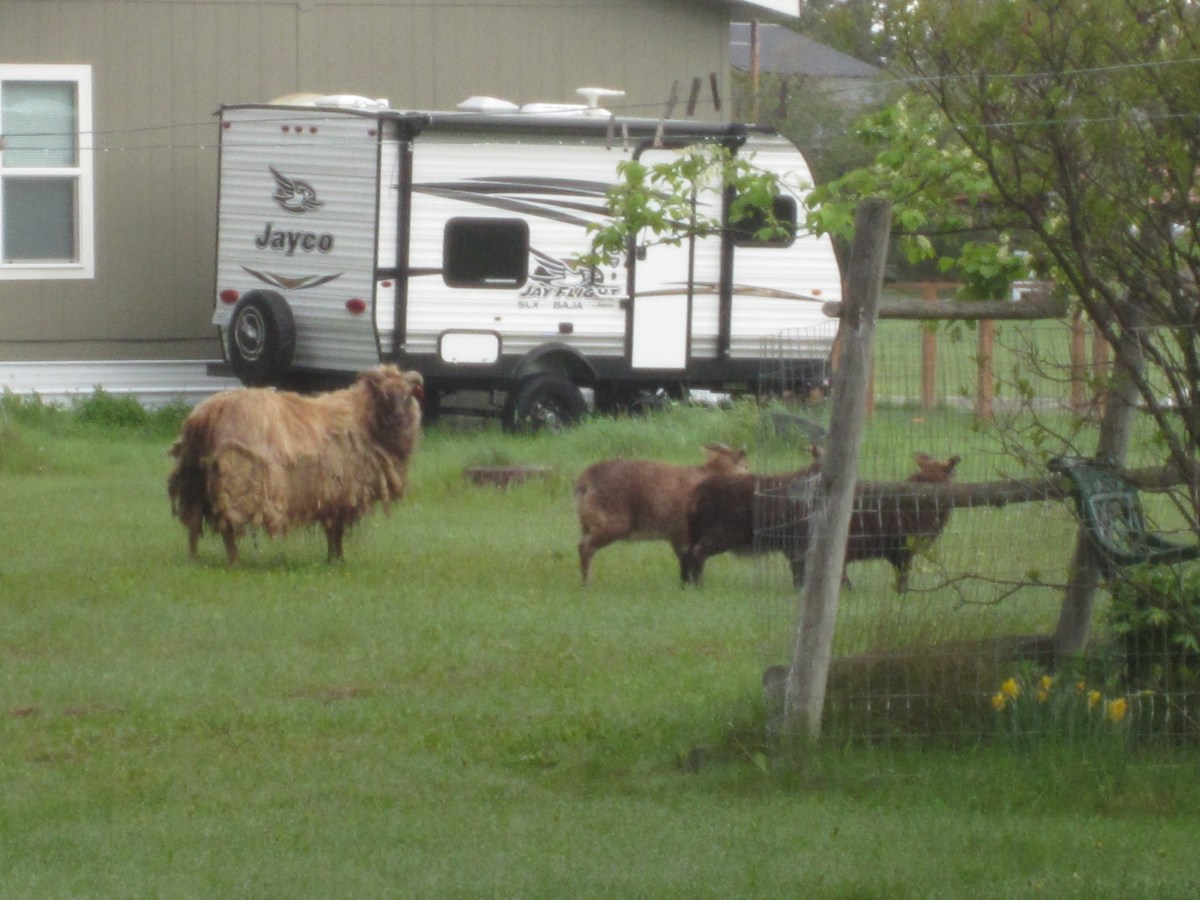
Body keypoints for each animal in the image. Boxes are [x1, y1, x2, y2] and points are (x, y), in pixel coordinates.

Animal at [167, 365, 424, 564]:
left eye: (408, 395)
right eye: (383, 394)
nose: (399, 418)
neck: (361, 419)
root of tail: (204, 414)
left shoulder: (331, 495)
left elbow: (332, 529)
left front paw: (333, 559)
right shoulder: (341, 491)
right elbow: (336, 530)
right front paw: (338, 560)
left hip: (194, 479)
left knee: (193, 521)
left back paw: (194, 559)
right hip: (237, 478)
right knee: (228, 524)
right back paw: (234, 561)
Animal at [574, 443, 748, 584]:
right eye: (745, 465)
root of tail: (585, 481)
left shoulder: (676, 536)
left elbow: (684, 558)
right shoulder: (685, 534)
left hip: (587, 525)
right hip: (612, 525)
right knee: (585, 547)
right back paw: (587, 583)